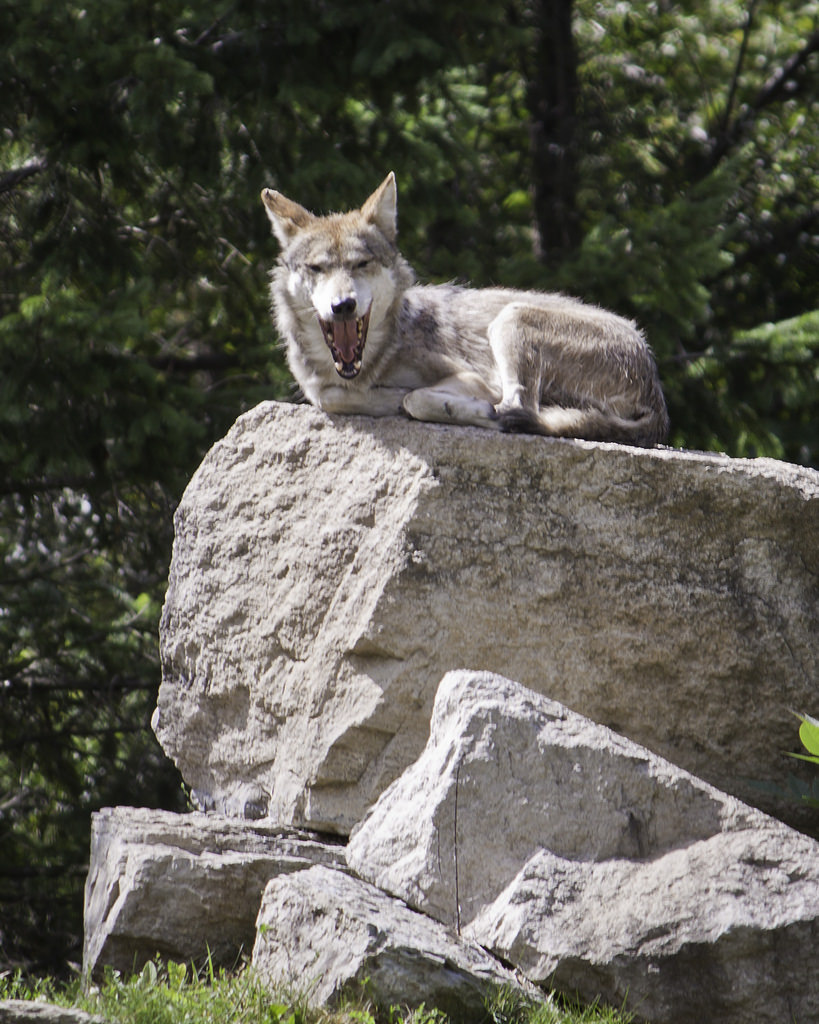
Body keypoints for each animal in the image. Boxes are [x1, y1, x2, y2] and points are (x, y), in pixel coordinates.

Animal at [261, 173, 669, 446]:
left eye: (361, 264)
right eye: (317, 268)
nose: (343, 305)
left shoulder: (475, 379)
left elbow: (412, 397)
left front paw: (399, 399)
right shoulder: (321, 388)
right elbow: (332, 397)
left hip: (511, 318)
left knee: (521, 409)